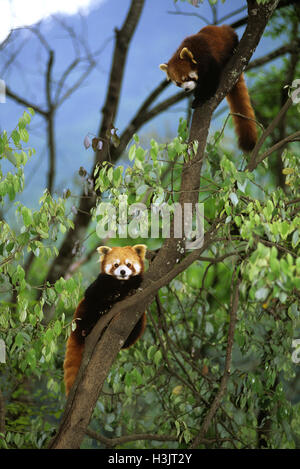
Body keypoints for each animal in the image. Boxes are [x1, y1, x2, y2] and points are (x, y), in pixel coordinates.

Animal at [63, 245, 147, 394]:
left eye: (129, 264)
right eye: (116, 265)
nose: (123, 271)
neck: (120, 282)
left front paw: (129, 292)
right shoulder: (99, 284)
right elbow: (93, 296)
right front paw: (108, 303)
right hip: (82, 312)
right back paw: (89, 327)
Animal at [159, 24, 258, 152]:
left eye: (186, 78)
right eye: (178, 83)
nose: (187, 89)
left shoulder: (209, 58)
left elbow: (211, 79)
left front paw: (202, 98)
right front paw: (196, 95)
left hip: (227, 34)